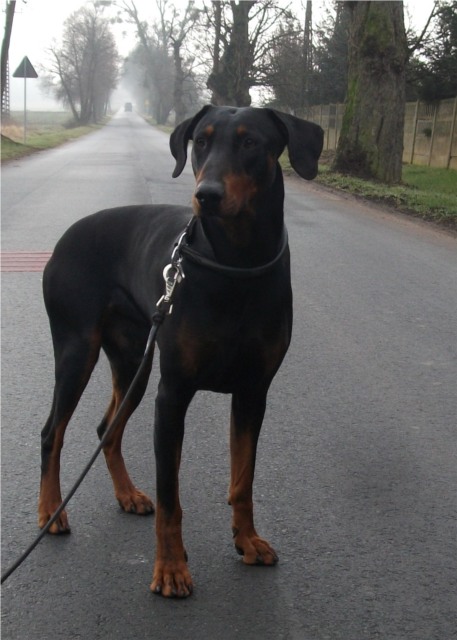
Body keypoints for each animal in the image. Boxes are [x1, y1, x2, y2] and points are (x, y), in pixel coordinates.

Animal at [38, 105, 323, 597]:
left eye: (251, 143)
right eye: (201, 141)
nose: (206, 195)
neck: (236, 263)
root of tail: (64, 238)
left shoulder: (253, 393)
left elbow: (243, 479)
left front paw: (247, 541)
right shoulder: (172, 395)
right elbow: (172, 497)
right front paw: (171, 569)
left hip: (134, 359)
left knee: (106, 428)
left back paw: (127, 495)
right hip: (77, 352)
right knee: (51, 434)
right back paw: (49, 513)